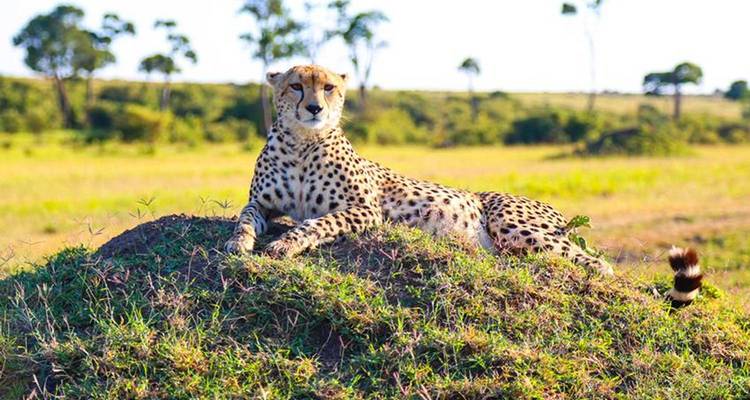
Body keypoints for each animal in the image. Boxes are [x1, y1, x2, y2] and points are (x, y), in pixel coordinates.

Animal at [224, 64, 614, 276]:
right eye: (296, 86)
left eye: (329, 87)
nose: (315, 108)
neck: (302, 143)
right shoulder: (263, 203)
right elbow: (245, 217)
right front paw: (239, 241)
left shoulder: (366, 210)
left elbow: (317, 223)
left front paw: (285, 243)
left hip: (514, 225)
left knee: (595, 262)